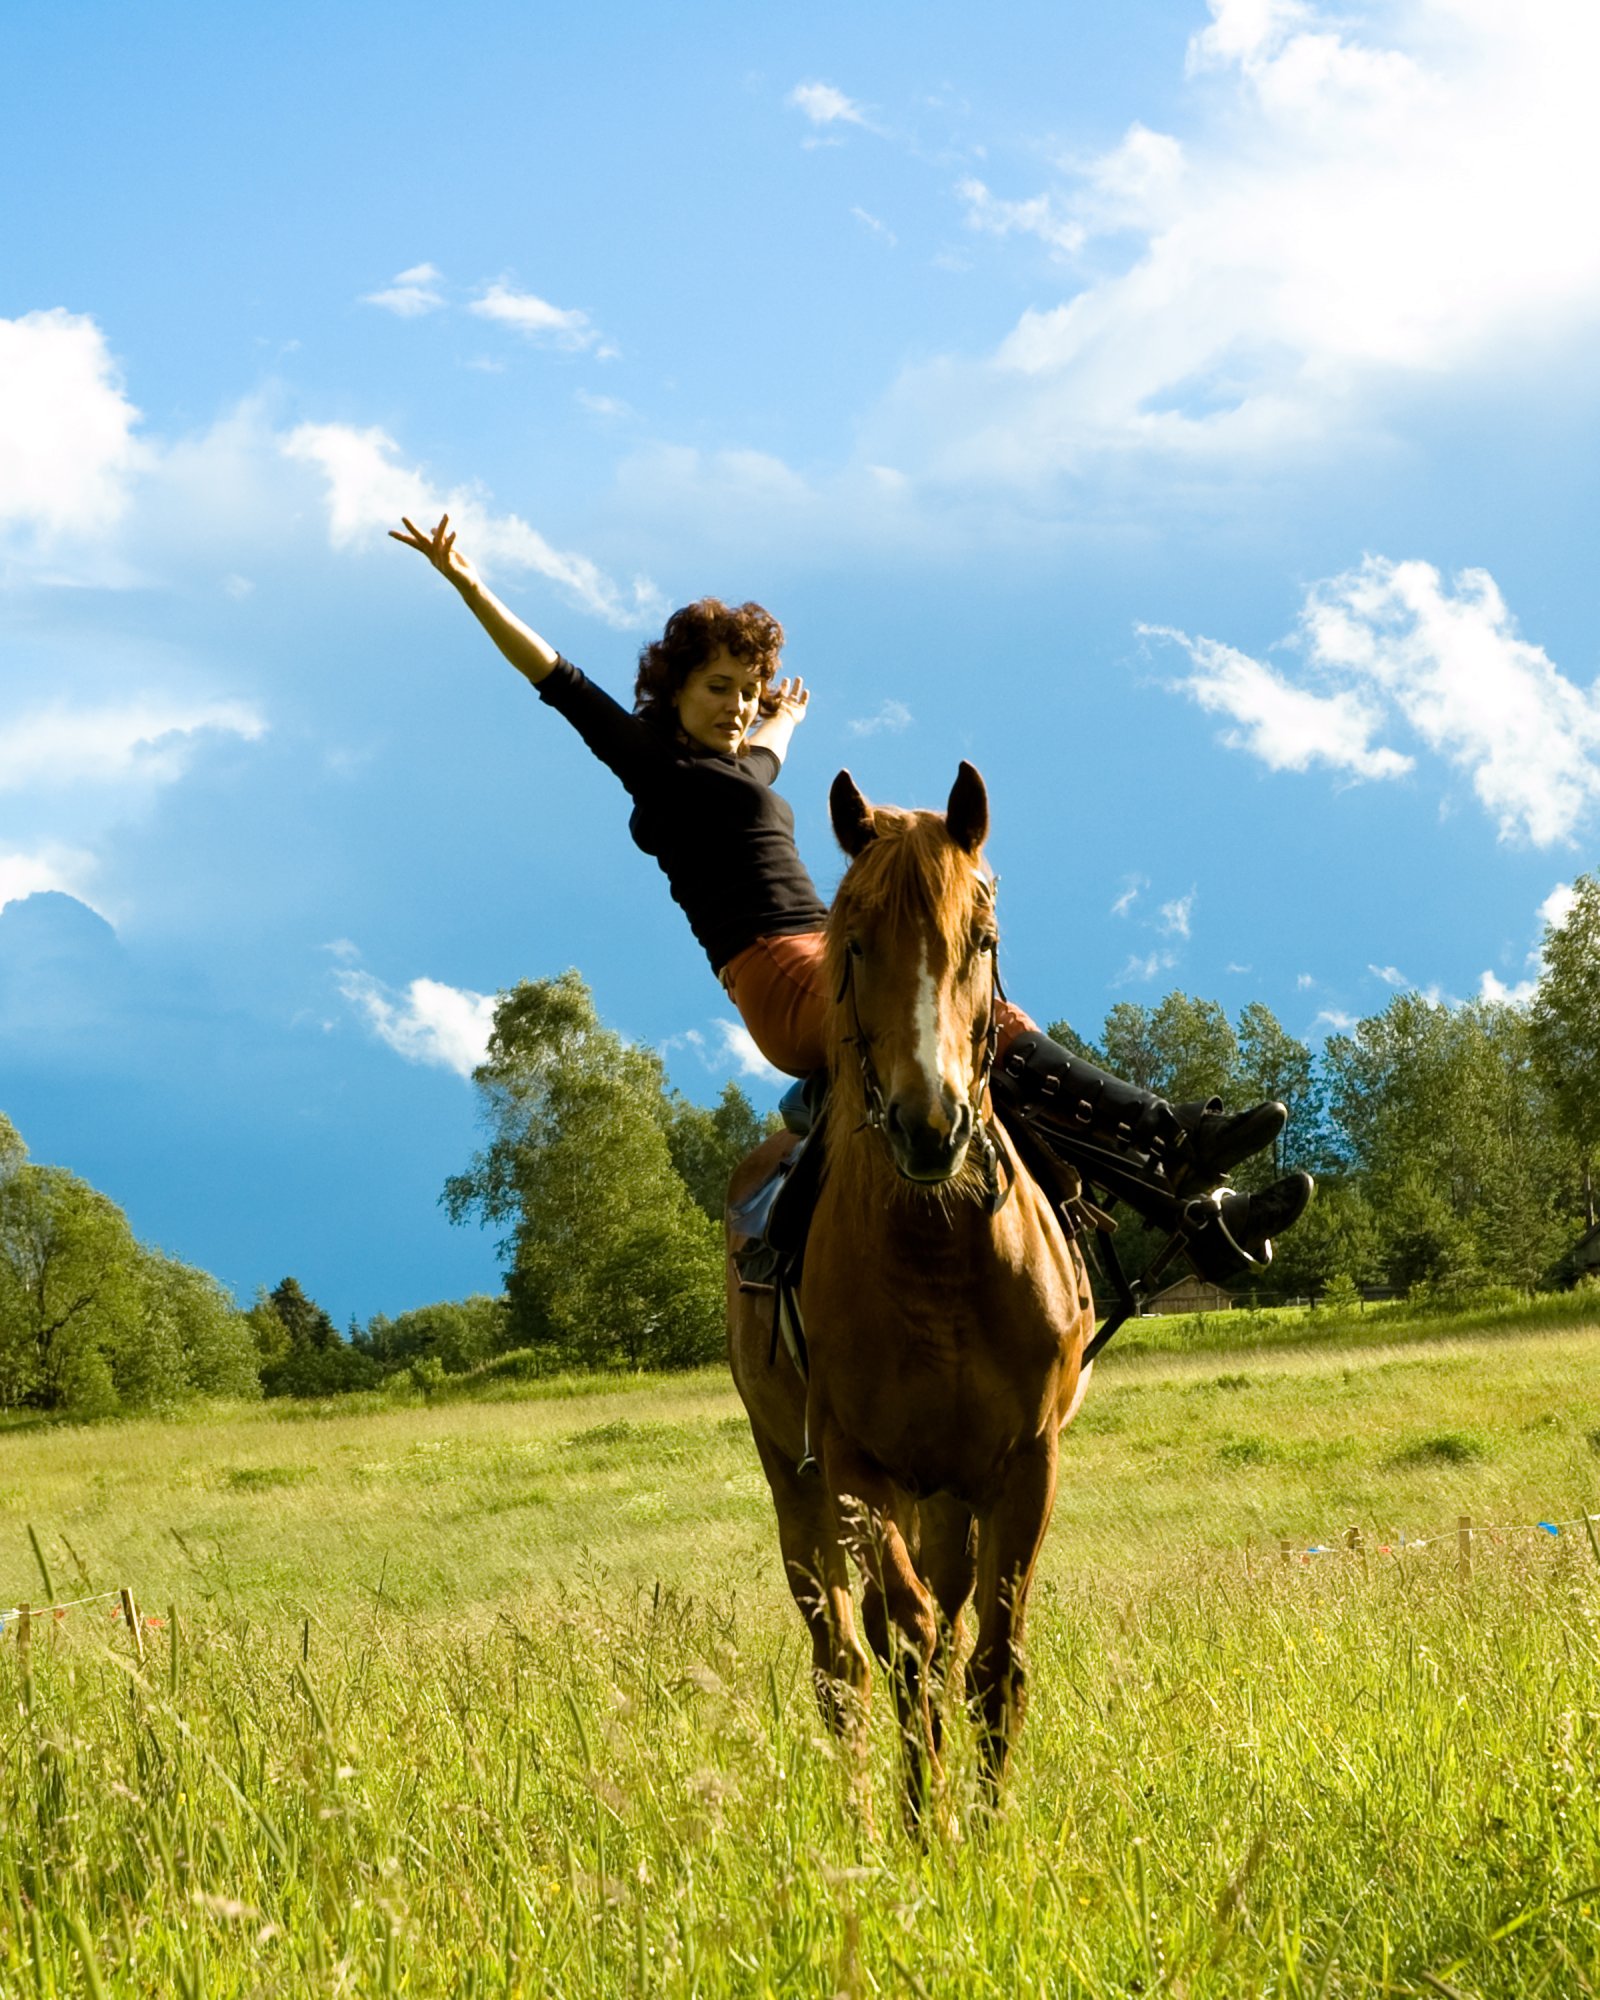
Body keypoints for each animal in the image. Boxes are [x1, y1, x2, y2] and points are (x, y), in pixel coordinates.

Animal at [728, 756, 1096, 1824]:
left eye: (982, 939)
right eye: (853, 944)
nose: (930, 1126)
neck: (940, 1264)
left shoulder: (1023, 1466)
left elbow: (994, 1656)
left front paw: (988, 1821)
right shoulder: (858, 1469)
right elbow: (910, 1641)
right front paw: (925, 1823)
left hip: (950, 1498)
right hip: (797, 1484)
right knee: (844, 1662)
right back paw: (861, 1805)